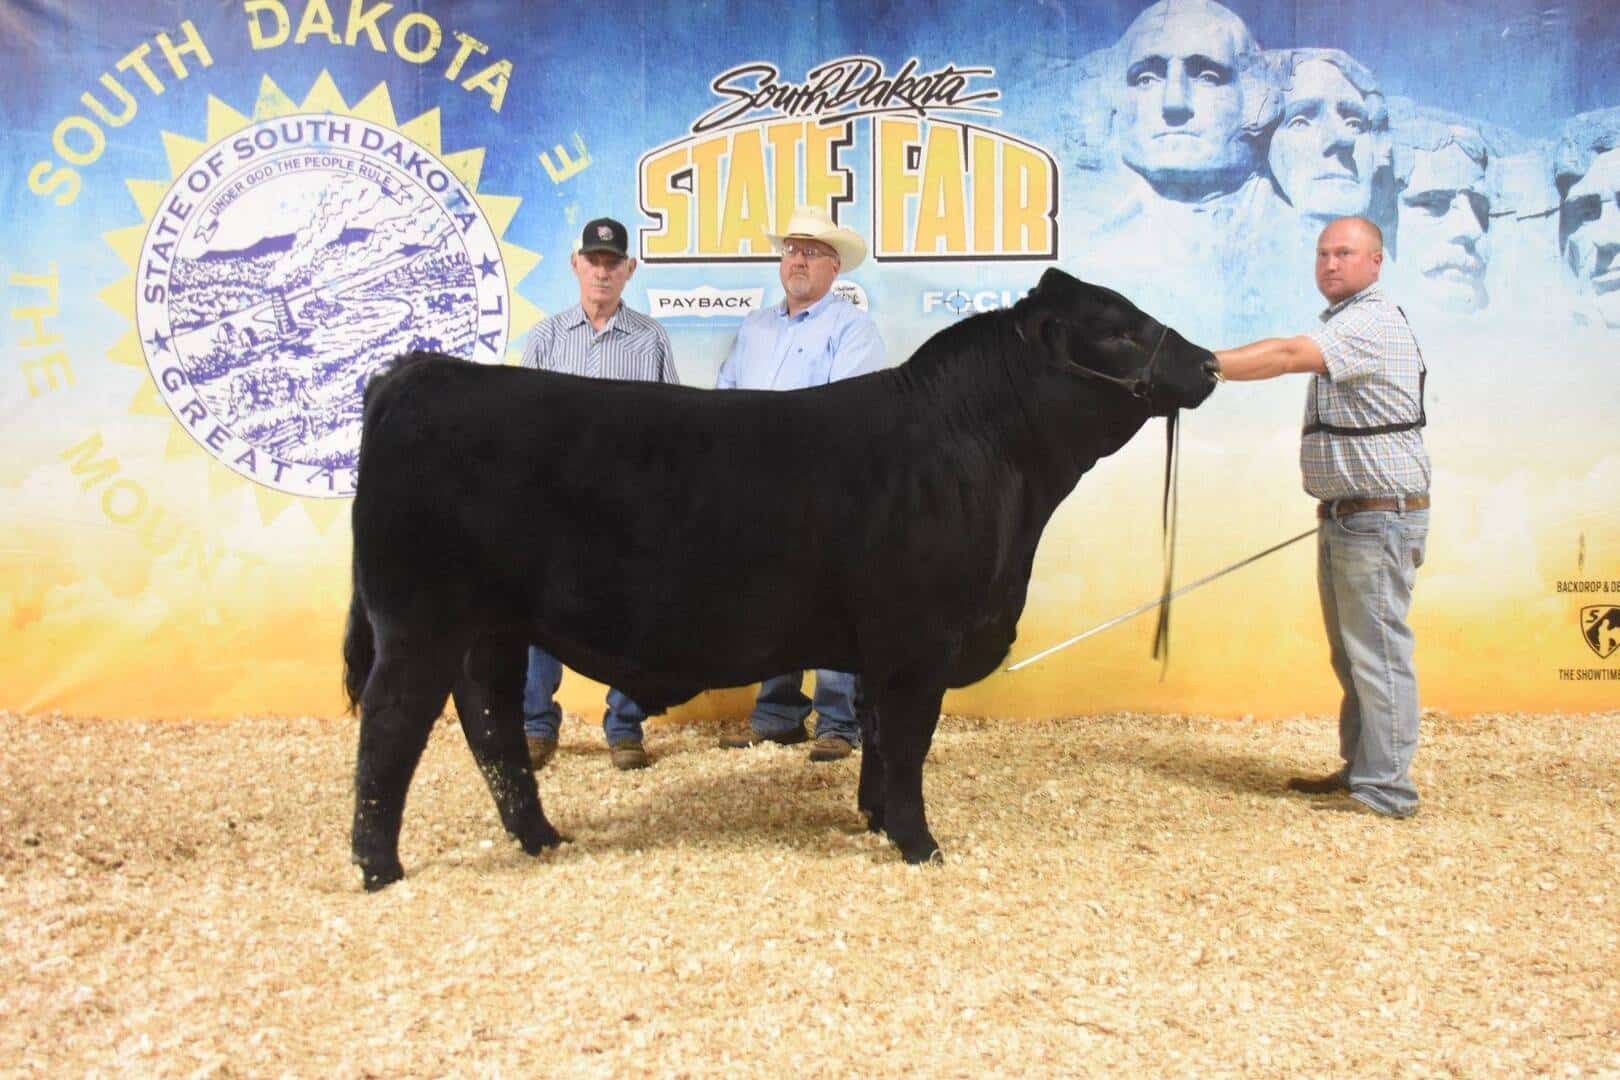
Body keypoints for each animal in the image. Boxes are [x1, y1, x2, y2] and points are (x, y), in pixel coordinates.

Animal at [343, 268, 1219, 890]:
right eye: (1117, 330)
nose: (1210, 360)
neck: (984, 451)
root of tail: (422, 372)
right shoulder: (918, 641)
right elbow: (908, 741)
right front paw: (919, 844)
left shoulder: (884, 648)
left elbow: (876, 736)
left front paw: (875, 820)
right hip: (419, 621)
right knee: (391, 726)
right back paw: (379, 869)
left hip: (489, 627)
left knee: (490, 725)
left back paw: (540, 839)